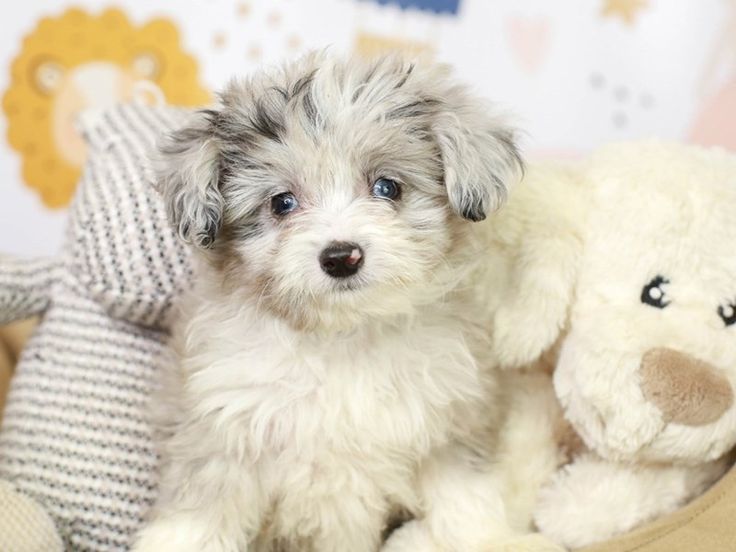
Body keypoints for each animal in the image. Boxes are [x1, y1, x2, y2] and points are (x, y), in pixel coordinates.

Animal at [134, 52, 556, 552]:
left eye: (387, 187)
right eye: (281, 203)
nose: (341, 257)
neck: (342, 337)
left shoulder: (449, 425)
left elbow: (465, 498)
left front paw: (487, 537)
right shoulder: (222, 434)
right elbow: (199, 514)